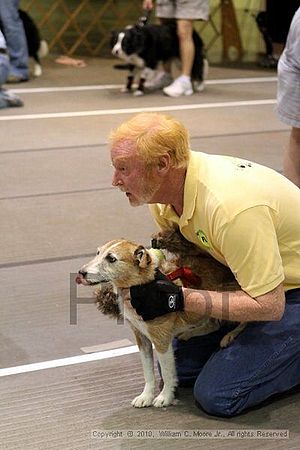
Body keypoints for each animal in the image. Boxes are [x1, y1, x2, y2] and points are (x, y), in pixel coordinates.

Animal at [75, 230, 246, 410]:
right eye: (98, 253)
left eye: (111, 259)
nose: (81, 272)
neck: (140, 287)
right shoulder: (141, 339)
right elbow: (148, 371)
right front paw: (146, 396)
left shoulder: (161, 341)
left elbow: (166, 371)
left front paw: (165, 397)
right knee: (212, 325)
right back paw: (189, 333)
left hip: (226, 298)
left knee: (246, 320)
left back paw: (230, 335)